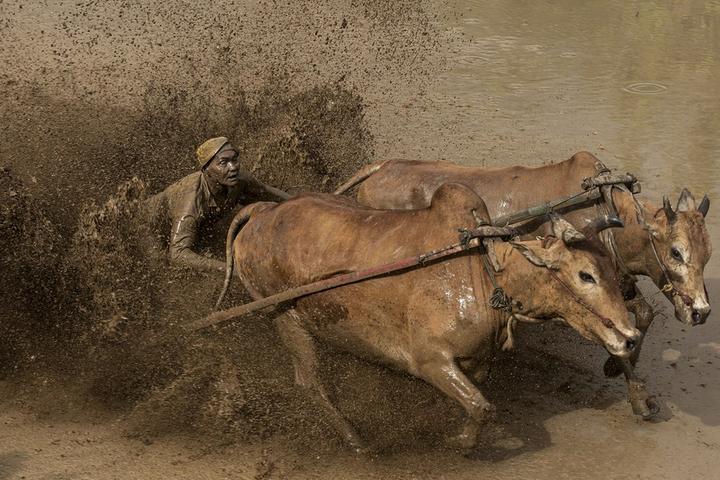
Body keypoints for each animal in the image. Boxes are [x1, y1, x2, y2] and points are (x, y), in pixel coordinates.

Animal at [218, 183, 639, 452]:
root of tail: (263, 211)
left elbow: (476, 404)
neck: (484, 271)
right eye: (585, 274)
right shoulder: (431, 360)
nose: (630, 337)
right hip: (282, 315)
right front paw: (459, 445)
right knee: (309, 383)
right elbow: (481, 407)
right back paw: (357, 442)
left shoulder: (474, 364)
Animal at [333, 151, 712, 419]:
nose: (701, 312)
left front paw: (621, 374)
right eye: (676, 252)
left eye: (708, 255)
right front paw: (635, 392)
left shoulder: (617, 286)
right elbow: (619, 336)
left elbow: (642, 318)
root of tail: (383, 166)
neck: (609, 215)